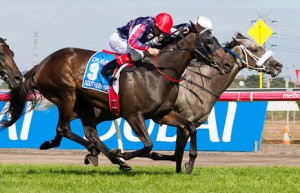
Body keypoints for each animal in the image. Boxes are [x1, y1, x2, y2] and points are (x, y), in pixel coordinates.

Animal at [0, 22, 231, 175]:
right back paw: (110, 157)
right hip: (66, 95)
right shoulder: (133, 115)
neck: (156, 73)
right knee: (65, 129)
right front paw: (127, 155)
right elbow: (148, 144)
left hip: (83, 104)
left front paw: (189, 162)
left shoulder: (162, 114)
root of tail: (41, 64)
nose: (227, 64)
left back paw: (104, 156)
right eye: (209, 41)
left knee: (89, 133)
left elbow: (190, 127)